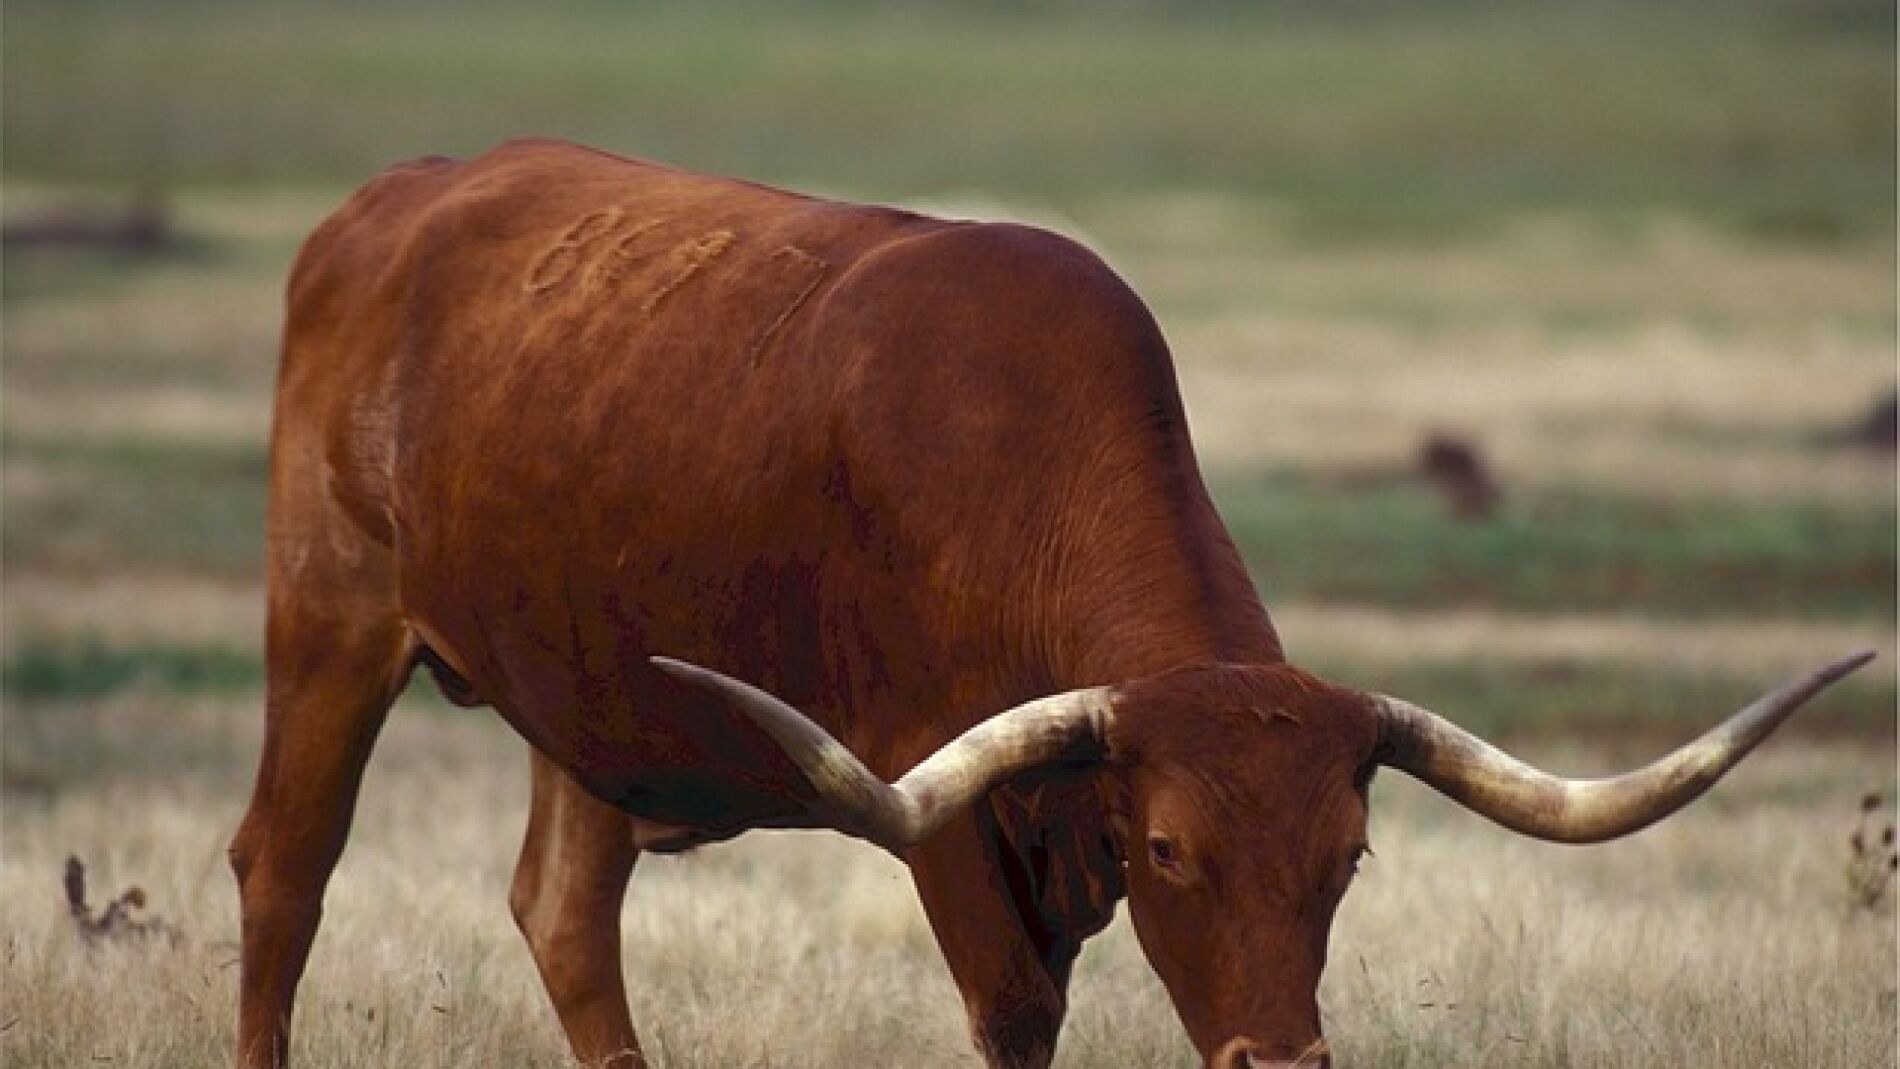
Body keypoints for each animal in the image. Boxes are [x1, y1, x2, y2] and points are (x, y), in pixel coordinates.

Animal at [231, 138, 1870, 1069]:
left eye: (1347, 855)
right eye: (1170, 847)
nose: (1279, 1065)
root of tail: (394, 200)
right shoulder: (941, 802)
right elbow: (1014, 1016)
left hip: (582, 689)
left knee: (567, 916)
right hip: (330, 618)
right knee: (284, 874)